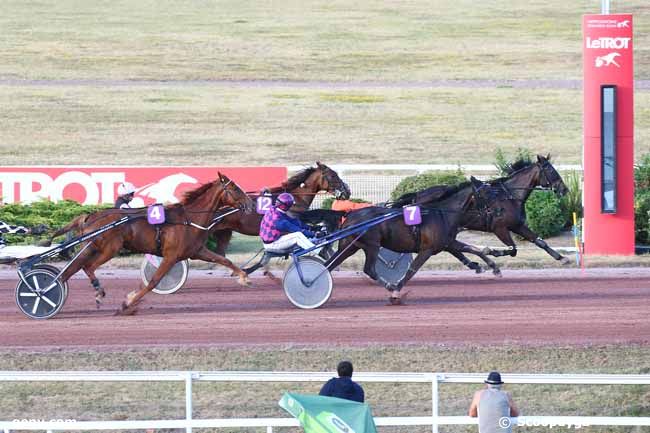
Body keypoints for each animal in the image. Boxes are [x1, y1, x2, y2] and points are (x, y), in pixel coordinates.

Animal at [52, 173, 253, 314]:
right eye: (235, 188)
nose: (251, 203)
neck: (188, 219)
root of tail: (90, 217)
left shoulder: (196, 251)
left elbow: (224, 260)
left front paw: (244, 277)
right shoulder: (171, 256)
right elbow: (153, 281)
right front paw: (128, 303)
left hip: (91, 247)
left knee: (72, 270)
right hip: (109, 248)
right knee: (88, 267)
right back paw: (96, 291)